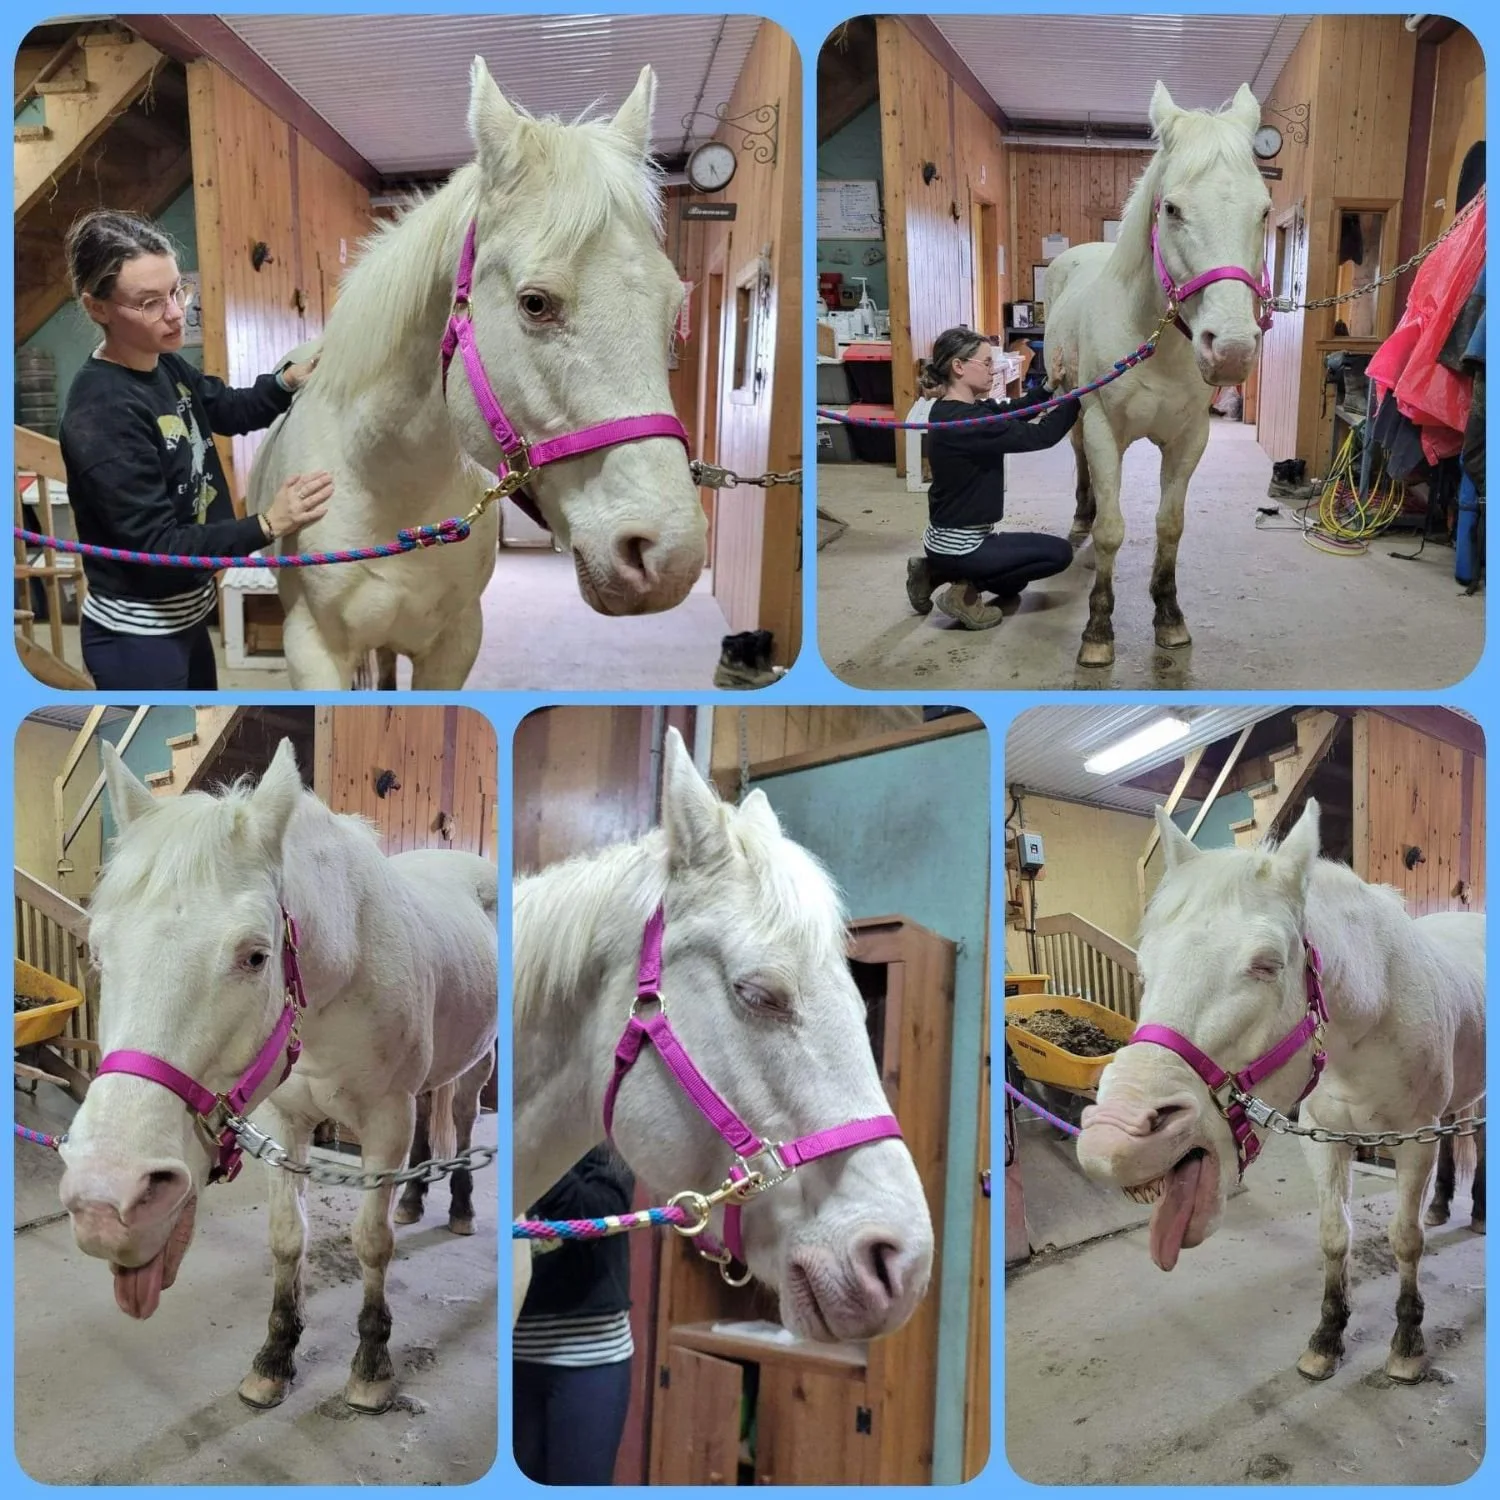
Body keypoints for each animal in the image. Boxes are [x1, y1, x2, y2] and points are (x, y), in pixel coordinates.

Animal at [56, 738, 499, 1415]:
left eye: (255, 956)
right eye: (99, 953)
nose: (108, 1199)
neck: (345, 969)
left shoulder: (384, 1122)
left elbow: (371, 1243)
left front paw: (372, 1364)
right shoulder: (283, 1122)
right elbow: (288, 1239)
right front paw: (274, 1357)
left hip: (479, 1064)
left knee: (465, 1119)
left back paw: (460, 1208)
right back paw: (414, 1200)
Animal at [250, 57, 707, 690]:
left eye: (673, 307)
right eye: (535, 303)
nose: (671, 556)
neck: (387, 487)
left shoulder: (454, 644)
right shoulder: (313, 649)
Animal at [1044, 82, 1272, 668]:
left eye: (1264, 211)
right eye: (1171, 208)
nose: (1232, 349)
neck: (1155, 344)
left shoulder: (1190, 438)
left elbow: (1170, 527)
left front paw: (1169, 617)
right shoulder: (1103, 429)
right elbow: (1110, 531)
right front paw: (1098, 630)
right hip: (1074, 410)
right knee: (1081, 466)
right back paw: (1081, 516)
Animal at [1075, 799, 1485, 1384]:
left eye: (1267, 964)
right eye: (1144, 965)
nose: (1112, 1137)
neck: (1374, 1012)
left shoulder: (1415, 1140)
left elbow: (1406, 1241)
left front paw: (1407, 1341)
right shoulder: (1324, 1139)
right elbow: (1335, 1235)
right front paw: (1327, 1336)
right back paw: (1445, 1204)